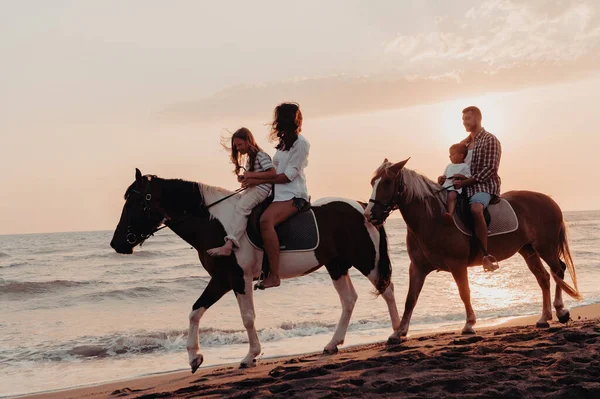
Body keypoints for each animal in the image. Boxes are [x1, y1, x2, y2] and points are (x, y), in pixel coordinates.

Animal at [111, 170, 404, 374]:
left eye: (134, 202)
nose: (116, 243)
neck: (216, 224)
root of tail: (363, 207)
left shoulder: (236, 279)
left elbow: (247, 318)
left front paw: (250, 356)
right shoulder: (221, 280)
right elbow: (195, 311)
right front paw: (194, 357)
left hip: (366, 260)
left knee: (387, 289)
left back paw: (397, 333)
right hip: (337, 265)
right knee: (349, 300)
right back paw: (333, 343)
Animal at [364, 159, 580, 340]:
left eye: (387, 182)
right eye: (373, 182)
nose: (369, 215)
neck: (433, 218)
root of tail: (550, 201)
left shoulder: (457, 265)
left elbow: (464, 293)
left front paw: (469, 325)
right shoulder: (417, 267)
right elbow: (411, 299)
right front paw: (399, 332)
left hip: (545, 247)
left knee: (558, 270)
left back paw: (561, 311)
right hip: (528, 250)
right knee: (544, 278)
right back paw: (544, 317)